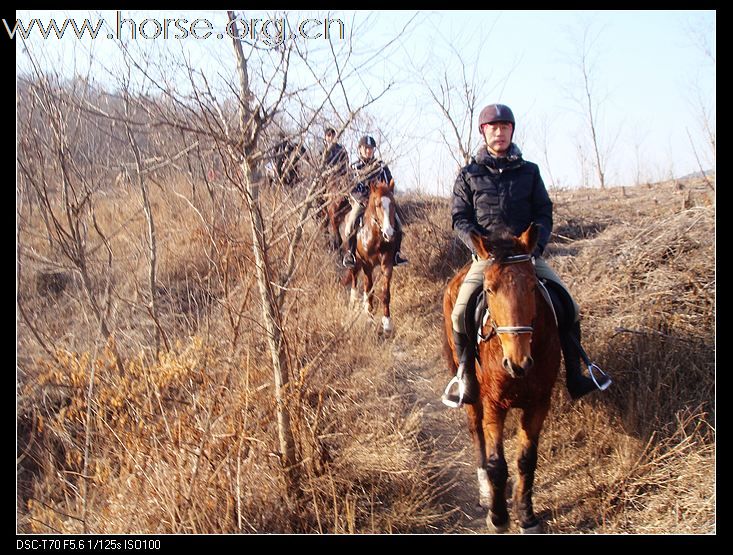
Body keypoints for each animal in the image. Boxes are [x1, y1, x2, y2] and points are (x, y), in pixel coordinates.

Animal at [344, 179, 398, 334]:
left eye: (393, 203)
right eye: (378, 204)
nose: (389, 233)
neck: (376, 237)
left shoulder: (387, 264)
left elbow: (385, 293)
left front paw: (387, 323)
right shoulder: (367, 265)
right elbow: (369, 289)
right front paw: (369, 317)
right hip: (355, 263)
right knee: (355, 280)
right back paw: (354, 302)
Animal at [440, 225, 560, 536]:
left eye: (533, 287)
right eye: (490, 289)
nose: (518, 363)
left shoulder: (539, 403)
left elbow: (526, 460)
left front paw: (526, 515)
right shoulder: (494, 404)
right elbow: (497, 464)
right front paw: (498, 516)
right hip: (471, 392)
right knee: (476, 431)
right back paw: (486, 491)